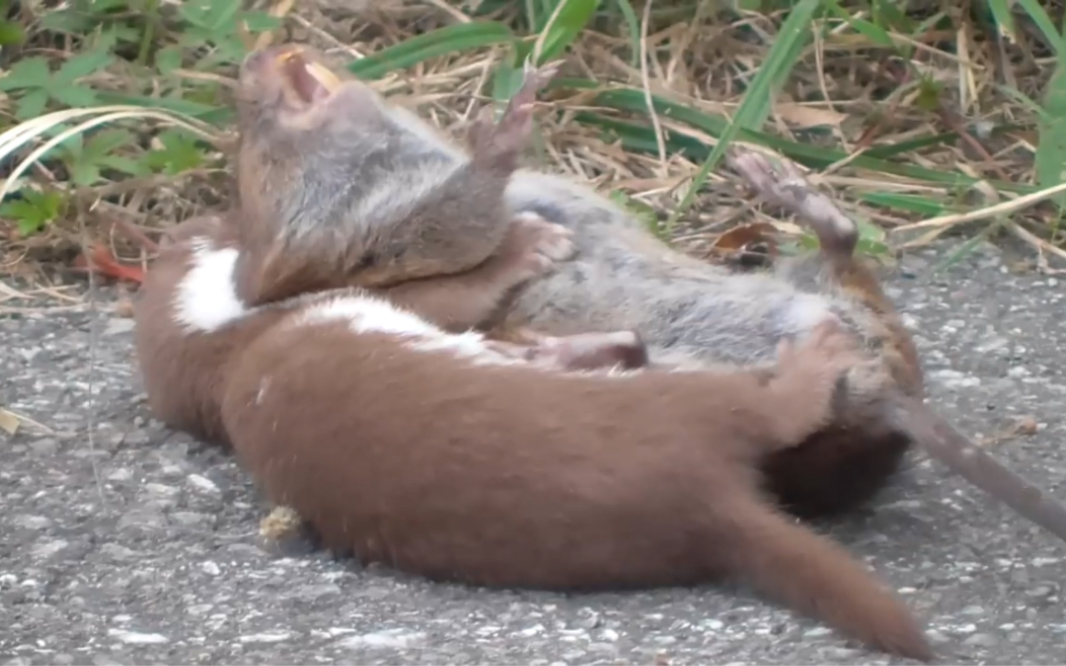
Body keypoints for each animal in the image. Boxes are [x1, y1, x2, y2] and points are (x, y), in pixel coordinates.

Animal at [239, 45, 1066, 541]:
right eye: (247, 132)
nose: (258, 50)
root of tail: (886, 393)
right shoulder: (395, 231)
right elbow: (467, 215)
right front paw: (506, 126)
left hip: (818, 294)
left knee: (843, 250)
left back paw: (775, 178)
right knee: (659, 352)